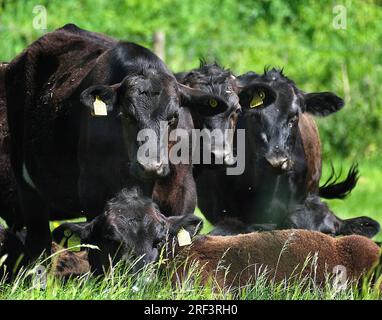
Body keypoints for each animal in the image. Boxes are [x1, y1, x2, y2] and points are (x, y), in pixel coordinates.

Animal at [2, 25, 222, 260]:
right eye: (127, 115)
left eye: (173, 116)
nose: (150, 165)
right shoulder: (92, 189)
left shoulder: (183, 190)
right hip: (28, 188)